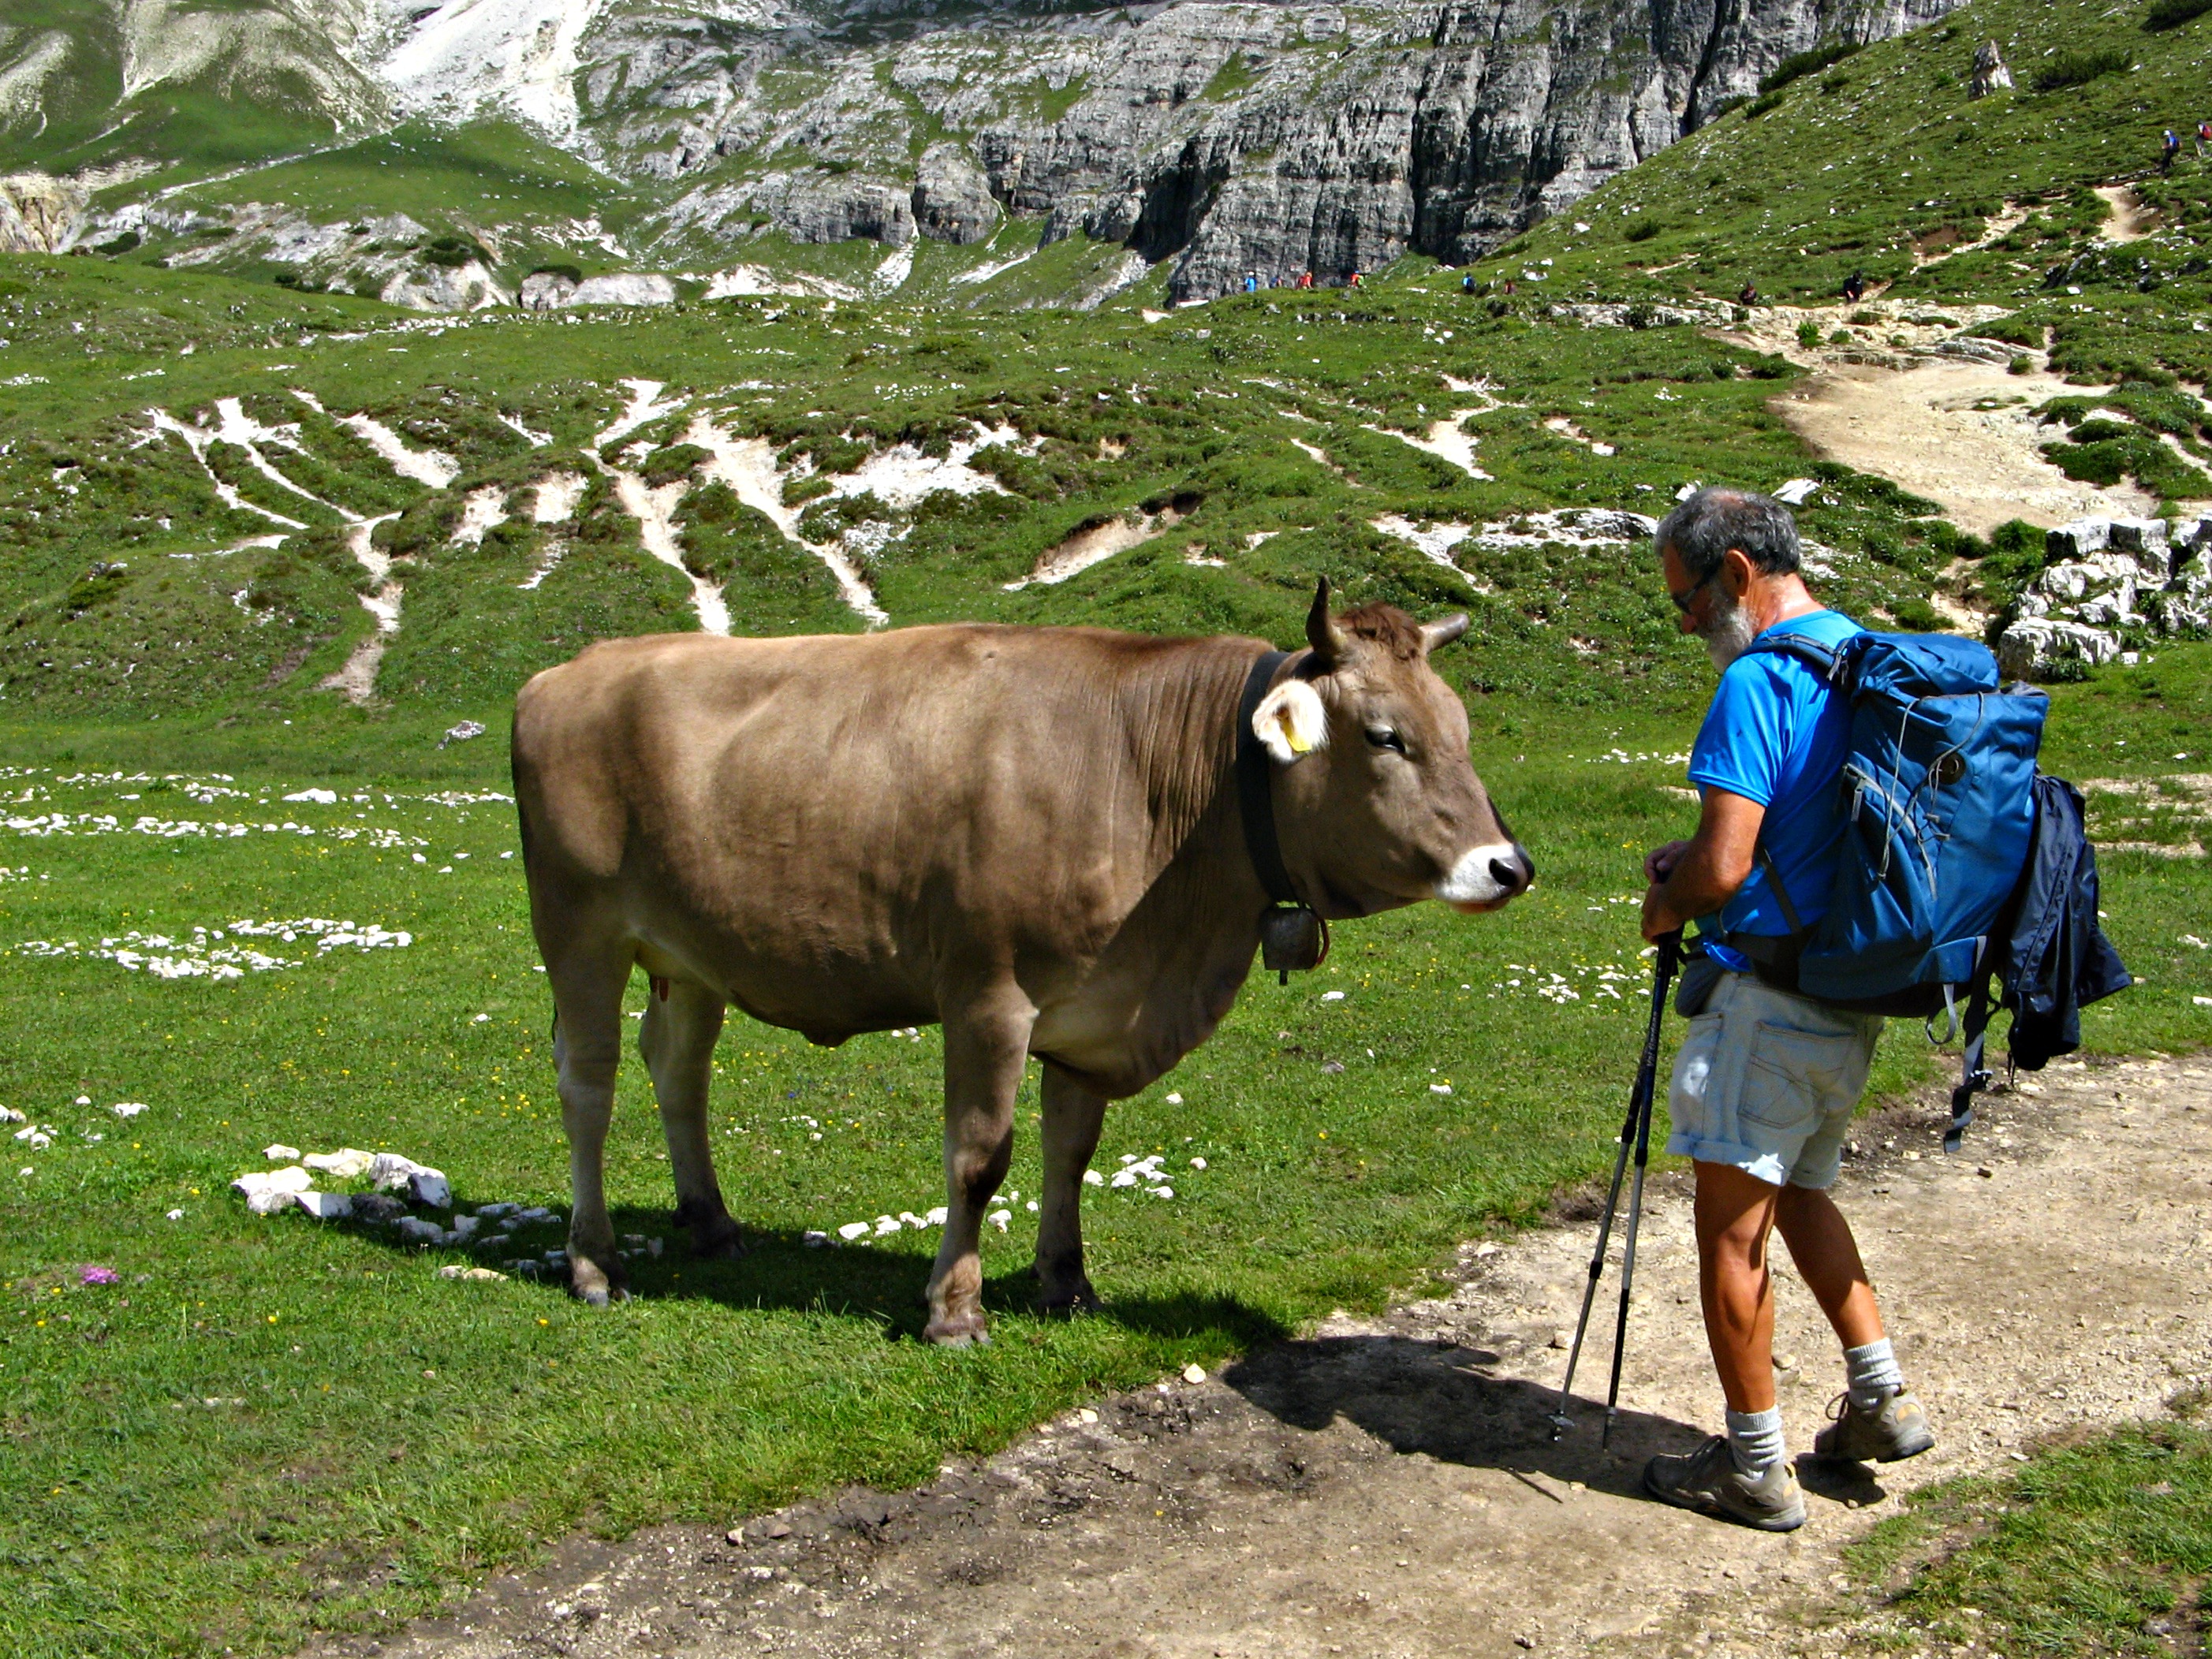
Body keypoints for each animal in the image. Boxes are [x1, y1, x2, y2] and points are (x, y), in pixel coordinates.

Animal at [509, 579, 1531, 1336]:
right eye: (1386, 736)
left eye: (1462, 731)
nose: (1508, 865)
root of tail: (573, 667)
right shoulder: (987, 993)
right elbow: (980, 1156)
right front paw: (955, 1310)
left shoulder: (1093, 1010)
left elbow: (1069, 1151)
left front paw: (1066, 1282)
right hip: (579, 928)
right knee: (588, 1084)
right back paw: (594, 1262)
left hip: (692, 952)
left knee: (678, 1069)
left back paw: (712, 1221)